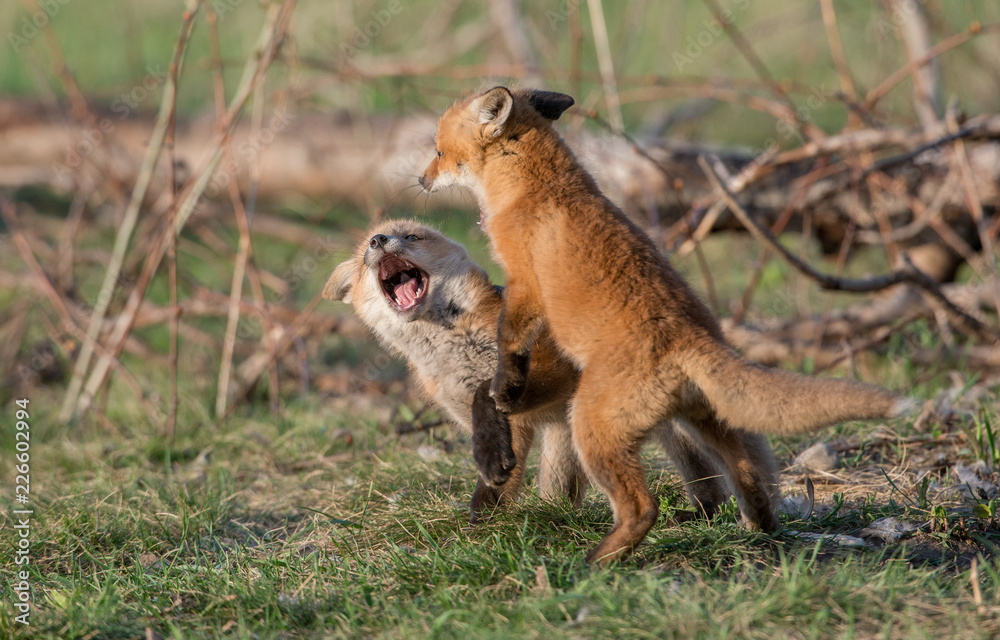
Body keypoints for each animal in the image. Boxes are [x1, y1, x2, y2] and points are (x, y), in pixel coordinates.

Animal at [322, 219, 780, 522]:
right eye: (364, 256)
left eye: (413, 237)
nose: (379, 241)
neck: (454, 348)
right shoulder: (492, 416)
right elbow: (500, 475)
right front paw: (484, 519)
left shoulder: (541, 374)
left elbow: (486, 398)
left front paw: (486, 480)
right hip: (567, 437)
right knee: (566, 491)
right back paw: (559, 516)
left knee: (714, 463)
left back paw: (715, 511)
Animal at [418, 86, 916, 563]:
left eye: (439, 151)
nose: (420, 181)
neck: (534, 186)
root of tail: (689, 338)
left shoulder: (526, 284)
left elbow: (510, 341)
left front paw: (505, 388)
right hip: (706, 420)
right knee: (746, 473)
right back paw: (758, 529)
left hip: (591, 429)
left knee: (644, 507)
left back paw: (596, 561)